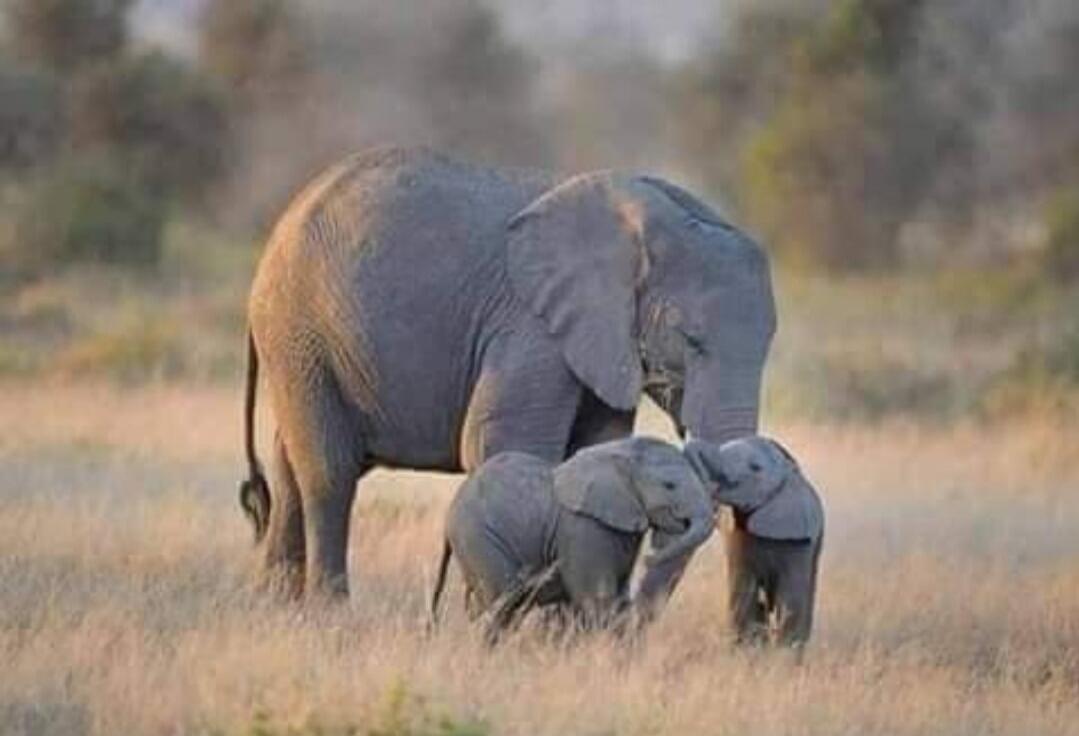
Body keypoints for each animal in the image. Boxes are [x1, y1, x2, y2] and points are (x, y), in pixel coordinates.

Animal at [237, 145, 776, 600]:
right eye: (691, 341)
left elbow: (594, 451)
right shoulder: (531, 328)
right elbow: (501, 444)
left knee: (289, 466)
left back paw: (277, 612)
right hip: (300, 334)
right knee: (329, 472)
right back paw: (330, 615)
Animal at [429, 437, 715, 638]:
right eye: (669, 486)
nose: (649, 557)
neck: (621, 452)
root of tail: (448, 519)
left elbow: (616, 600)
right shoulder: (583, 528)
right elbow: (598, 601)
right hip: (479, 538)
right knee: (503, 603)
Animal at [685, 436, 823, 647]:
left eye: (755, 467)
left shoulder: (799, 542)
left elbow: (791, 598)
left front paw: (784, 654)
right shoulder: (737, 538)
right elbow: (745, 593)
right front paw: (749, 650)